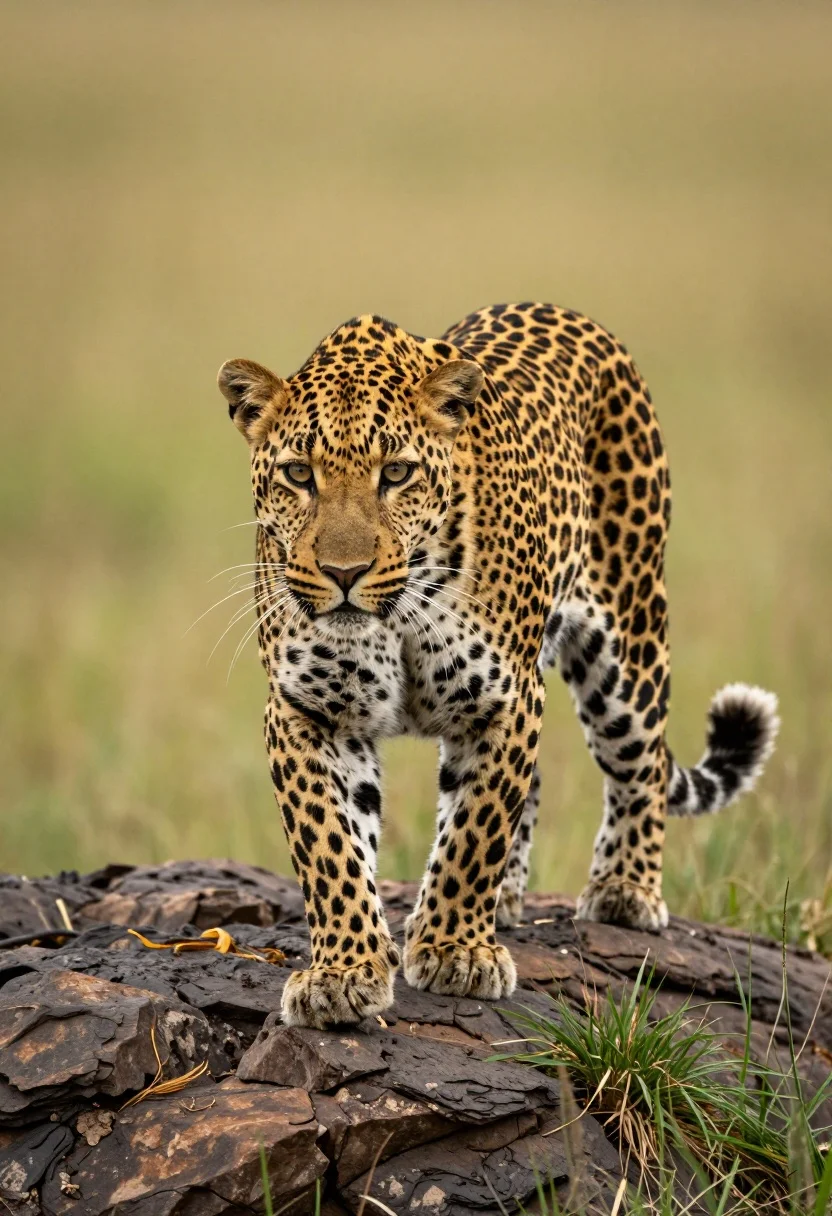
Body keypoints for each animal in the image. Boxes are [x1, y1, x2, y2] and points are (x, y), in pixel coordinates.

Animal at [216, 302, 779, 1031]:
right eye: (298, 475)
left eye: (395, 474)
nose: (344, 573)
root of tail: (569, 313)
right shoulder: (305, 710)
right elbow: (330, 845)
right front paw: (343, 973)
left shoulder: (505, 700)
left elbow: (474, 831)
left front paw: (454, 952)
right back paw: (510, 896)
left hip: (629, 642)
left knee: (642, 766)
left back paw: (625, 888)